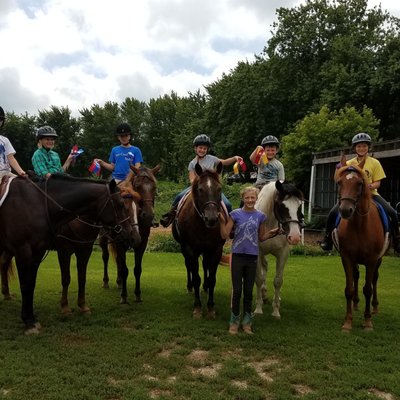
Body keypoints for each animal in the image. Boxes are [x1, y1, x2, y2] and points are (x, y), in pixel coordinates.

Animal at [0, 175, 134, 334]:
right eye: (121, 204)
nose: (130, 233)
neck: (37, 204)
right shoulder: (32, 251)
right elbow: (33, 283)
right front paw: (33, 320)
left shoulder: (77, 251)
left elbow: (79, 278)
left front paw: (83, 307)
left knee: (3, 263)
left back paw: (6, 293)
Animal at [100, 165, 159, 304]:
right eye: (137, 186)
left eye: (154, 187)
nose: (148, 215)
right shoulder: (120, 242)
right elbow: (124, 269)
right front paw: (124, 296)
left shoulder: (142, 243)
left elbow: (137, 269)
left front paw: (137, 294)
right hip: (103, 238)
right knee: (105, 257)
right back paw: (106, 282)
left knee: (117, 260)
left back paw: (119, 282)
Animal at [171, 161, 225, 318]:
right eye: (200, 189)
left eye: (219, 189)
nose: (211, 218)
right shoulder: (190, 249)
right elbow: (195, 277)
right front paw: (197, 307)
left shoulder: (216, 249)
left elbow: (212, 278)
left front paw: (211, 307)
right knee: (188, 266)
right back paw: (190, 287)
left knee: (205, 265)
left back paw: (205, 287)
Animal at [253, 181, 304, 318]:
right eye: (282, 205)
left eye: (299, 206)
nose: (295, 237)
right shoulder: (258, 253)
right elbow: (259, 279)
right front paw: (258, 308)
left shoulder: (283, 254)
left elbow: (278, 281)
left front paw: (276, 311)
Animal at [332, 153, 390, 332]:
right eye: (339, 182)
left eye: (359, 184)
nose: (345, 210)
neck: (359, 225)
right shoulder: (346, 257)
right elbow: (349, 289)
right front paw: (348, 322)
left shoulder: (372, 259)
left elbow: (368, 289)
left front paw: (368, 322)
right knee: (357, 277)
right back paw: (356, 305)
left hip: (379, 259)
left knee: (375, 279)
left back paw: (375, 307)